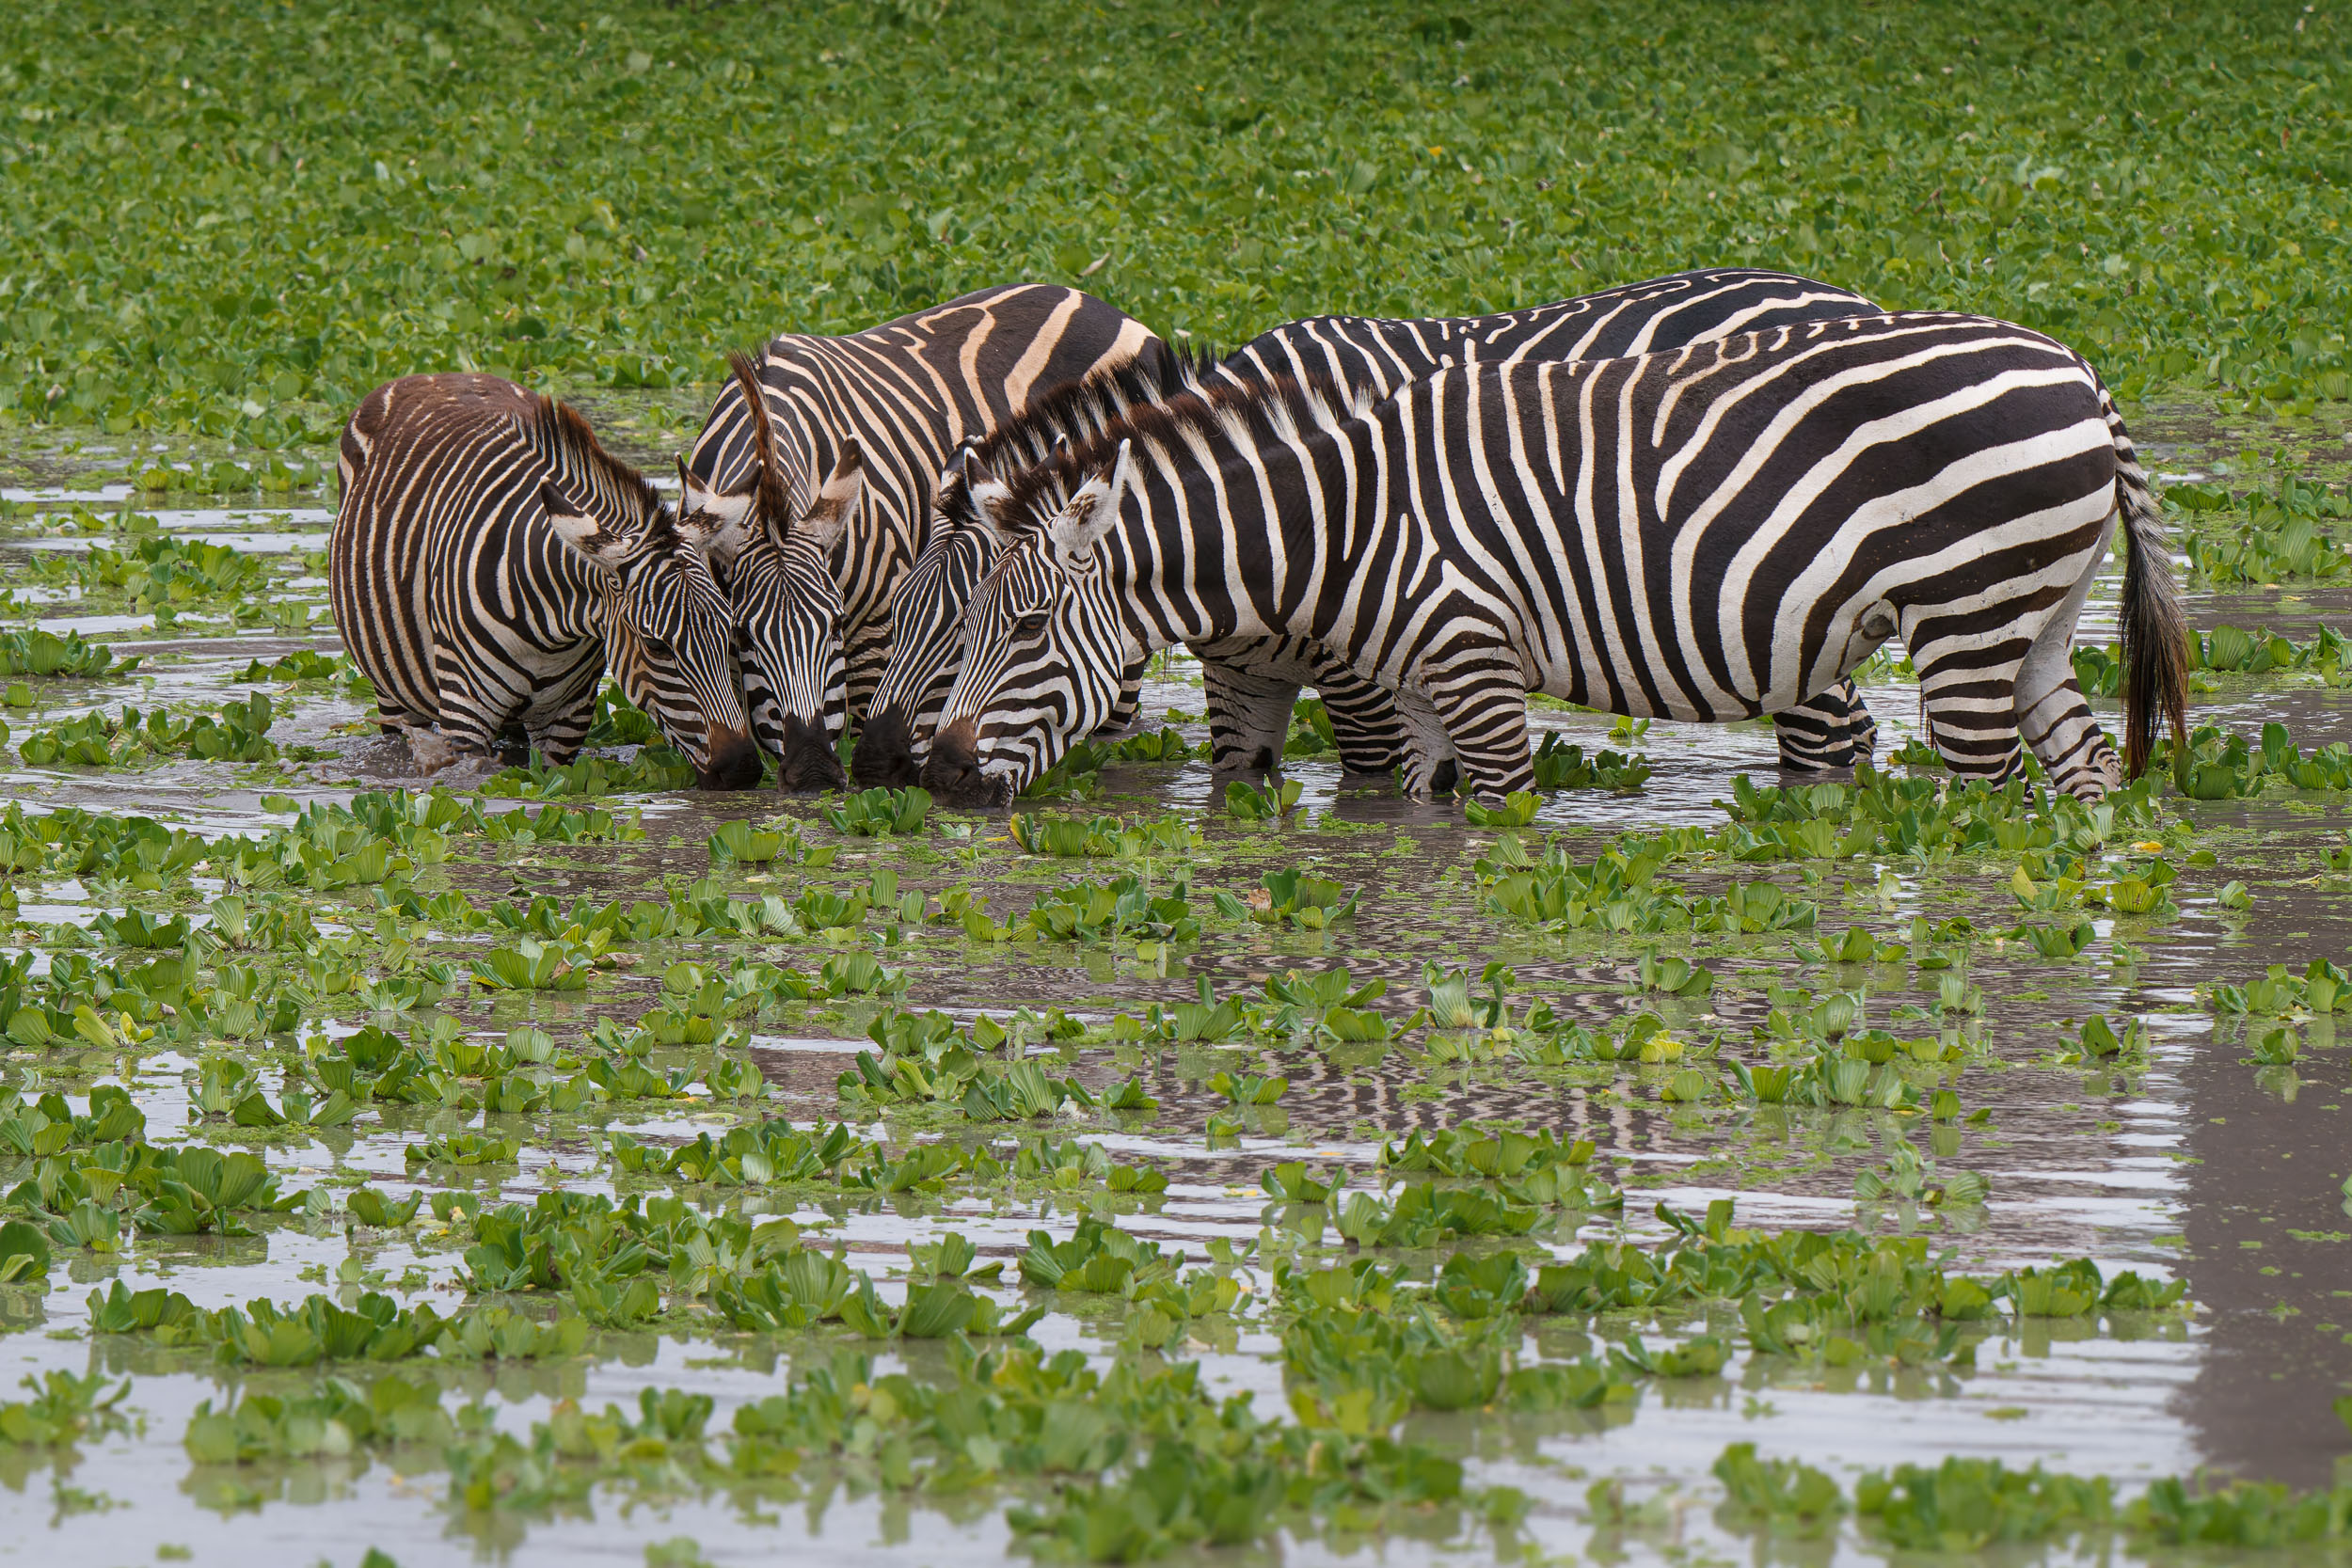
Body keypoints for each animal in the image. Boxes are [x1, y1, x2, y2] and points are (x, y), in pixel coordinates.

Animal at [329, 374, 764, 789]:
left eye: (732, 633)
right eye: (656, 646)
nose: (742, 770)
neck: (551, 629)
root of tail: (433, 375)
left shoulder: (569, 714)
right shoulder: (465, 712)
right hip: (391, 692)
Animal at [855, 270, 1891, 790]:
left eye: (978, 625)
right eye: (901, 615)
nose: (888, 766)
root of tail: (1850, 297)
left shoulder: (1365, 680)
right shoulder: (1243, 682)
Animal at [919, 313, 2189, 808]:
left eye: (1020, 629)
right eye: (960, 621)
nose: (937, 776)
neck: (1341, 516)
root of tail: (2077, 367)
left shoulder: (1473, 662)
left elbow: (1504, 817)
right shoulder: (1416, 682)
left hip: (1968, 617)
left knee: (1984, 795)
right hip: (2039, 619)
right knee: (2080, 770)